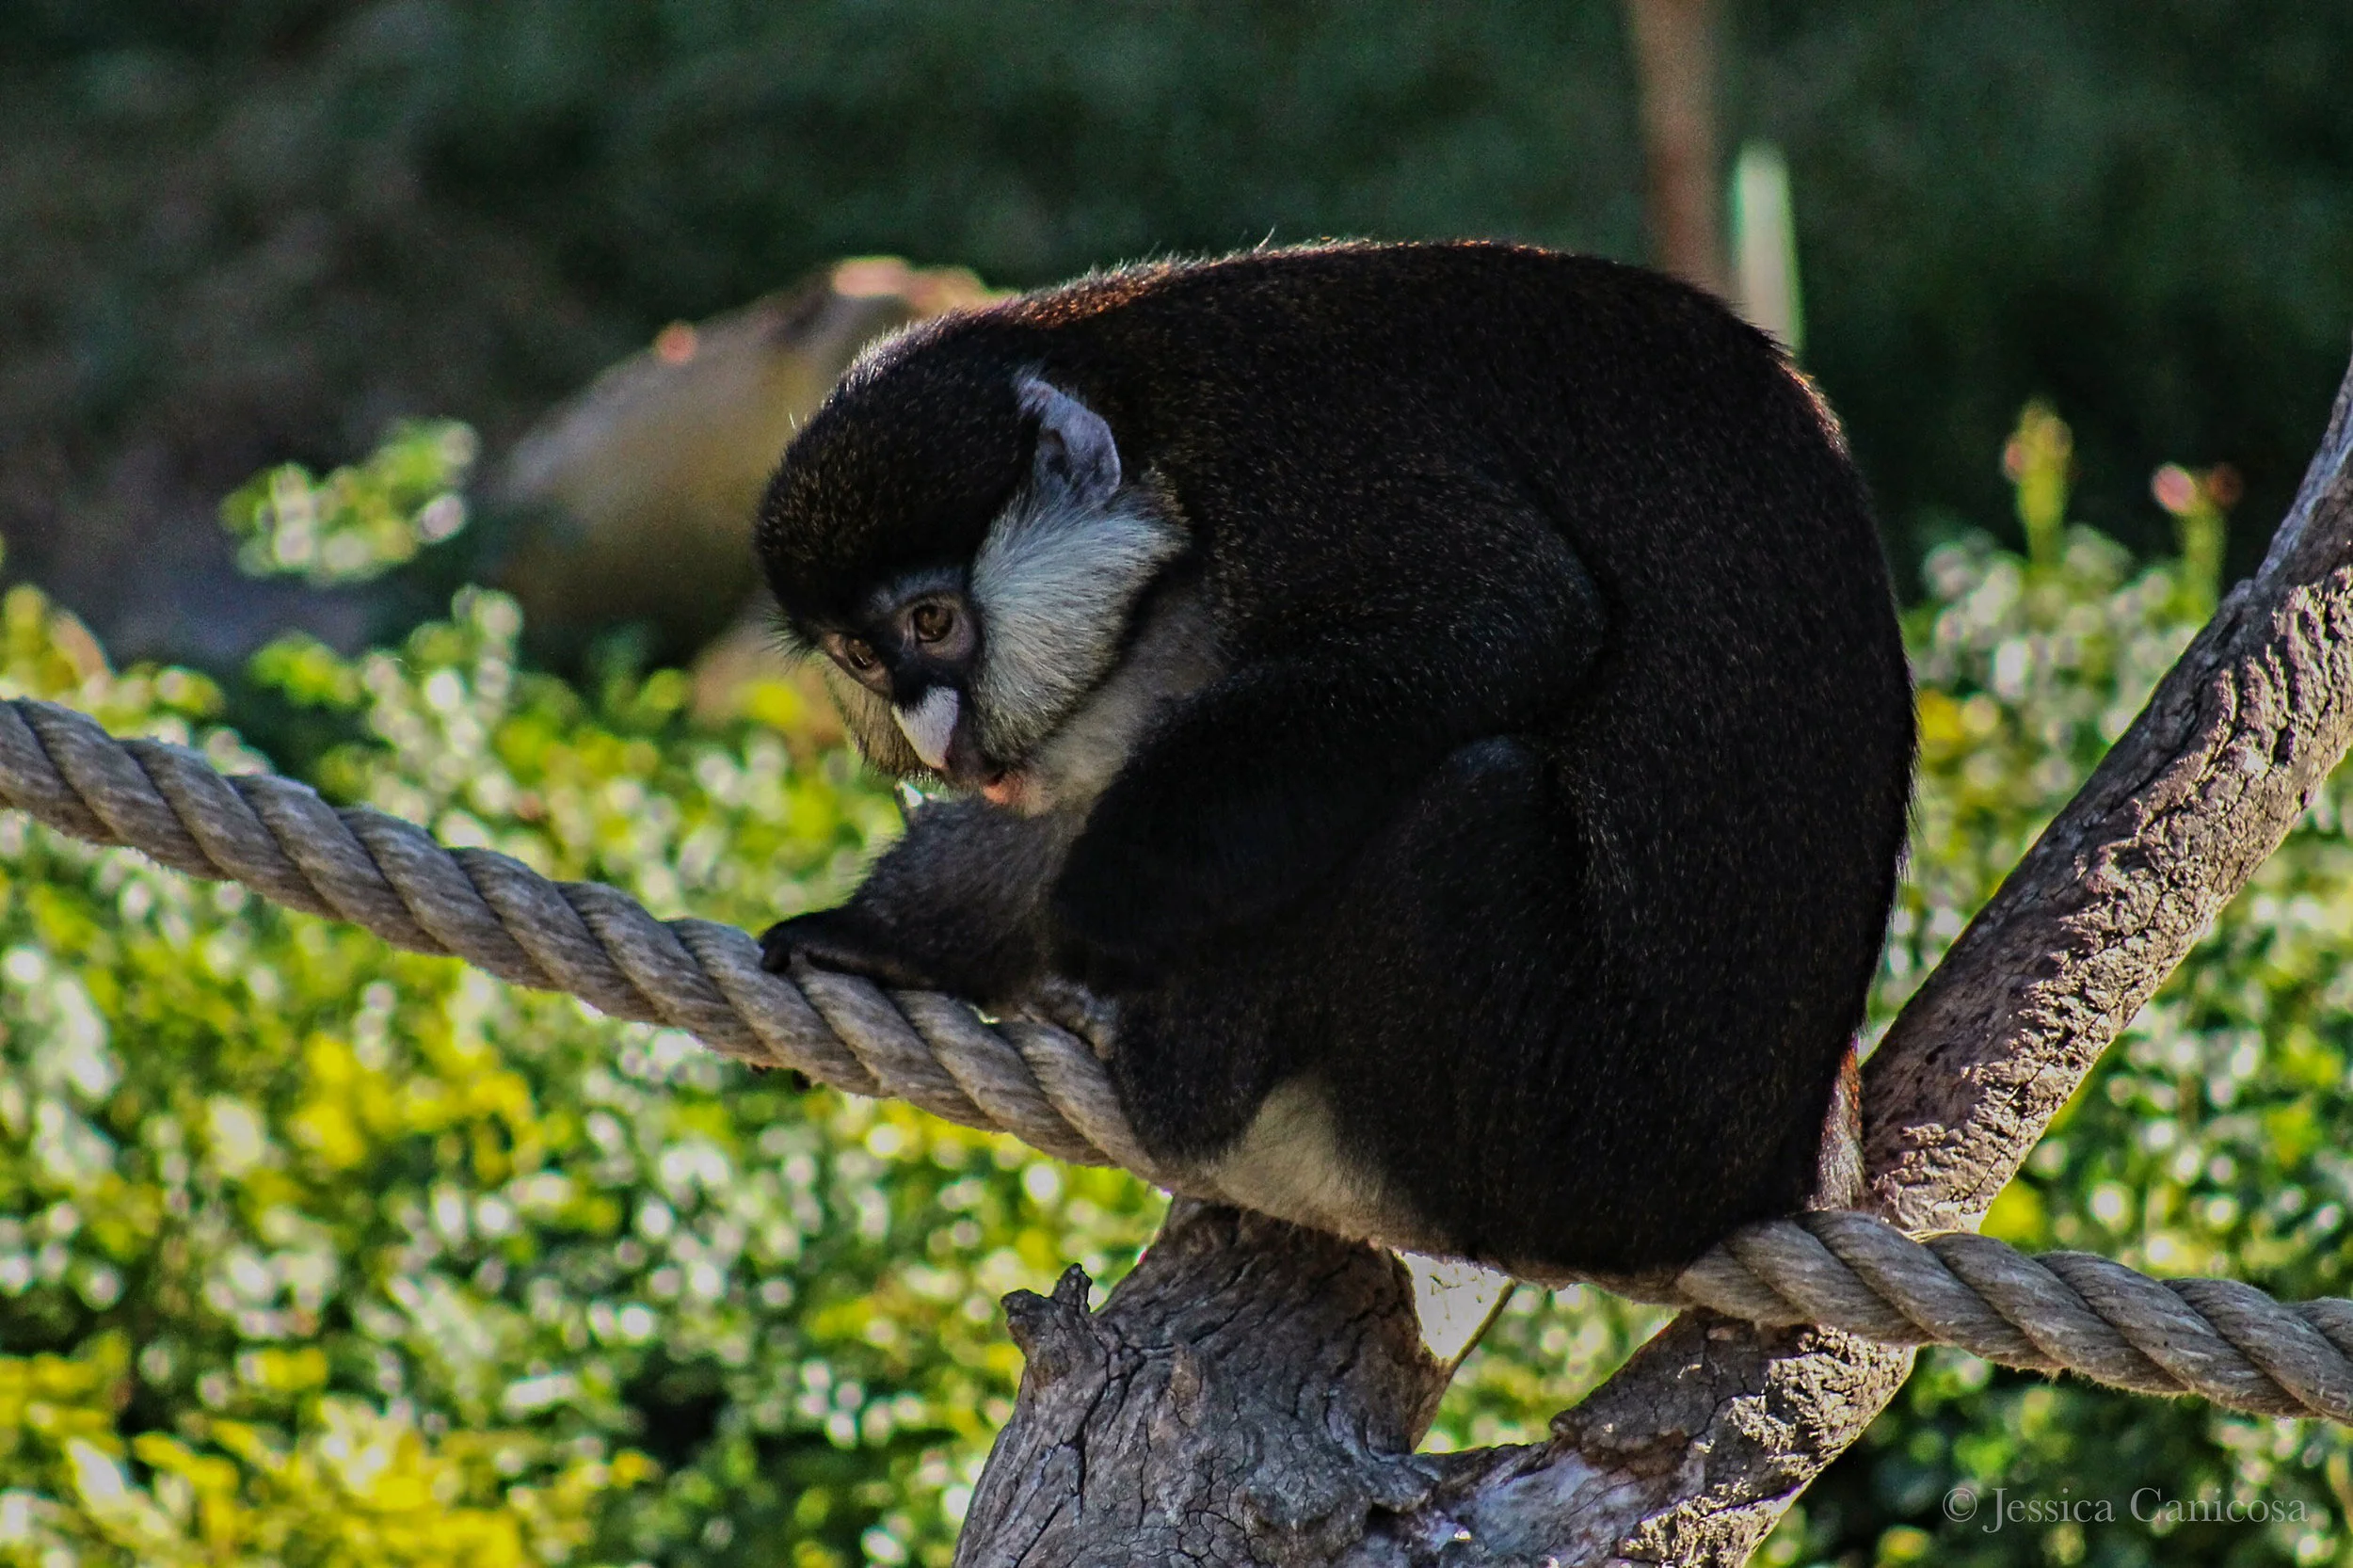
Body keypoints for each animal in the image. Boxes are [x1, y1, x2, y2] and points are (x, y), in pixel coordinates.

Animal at [753, 241, 1915, 1285]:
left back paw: (1180, 1085)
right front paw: (883, 939)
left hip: (1574, 1146)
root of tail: (1771, 1174)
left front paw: (1091, 913)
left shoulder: (1288, 454)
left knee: (1468, 797)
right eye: (864, 657)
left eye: (933, 623)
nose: (939, 739)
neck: (1135, 393)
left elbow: (1509, 620)